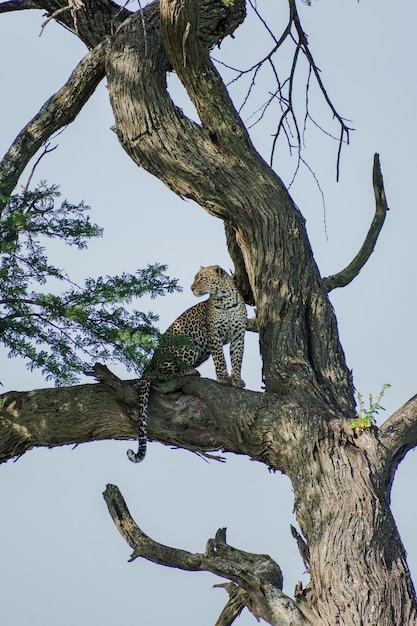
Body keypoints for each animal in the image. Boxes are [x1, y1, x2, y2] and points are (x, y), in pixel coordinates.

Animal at [125, 260, 245, 460]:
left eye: (201, 278)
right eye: (196, 278)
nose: (191, 288)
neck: (225, 299)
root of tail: (151, 362)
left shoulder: (238, 335)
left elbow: (237, 359)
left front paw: (236, 379)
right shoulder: (214, 335)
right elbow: (220, 359)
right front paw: (223, 378)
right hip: (189, 344)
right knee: (162, 373)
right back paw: (189, 371)